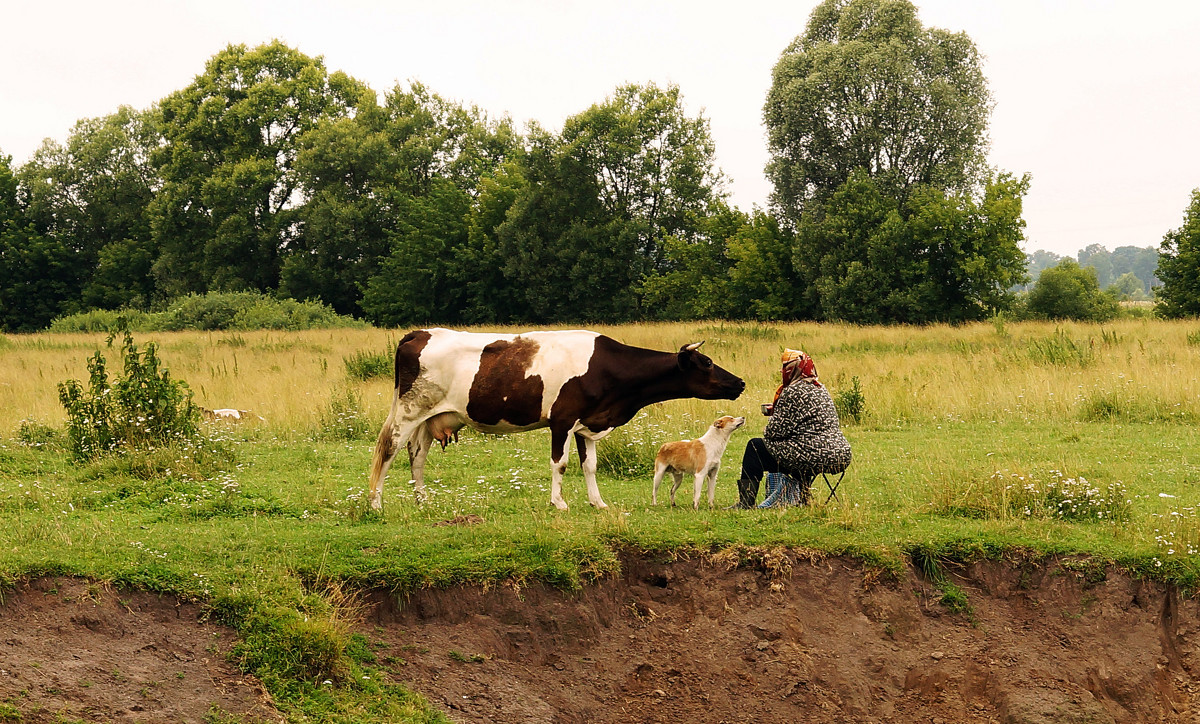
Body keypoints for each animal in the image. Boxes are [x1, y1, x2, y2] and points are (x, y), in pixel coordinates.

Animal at [364, 328, 739, 509]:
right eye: (706, 363)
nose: (740, 383)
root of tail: (419, 333)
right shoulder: (562, 420)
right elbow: (560, 464)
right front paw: (559, 502)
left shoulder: (588, 424)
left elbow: (590, 466)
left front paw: (598, 502)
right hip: (408, 410)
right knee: (388, 450)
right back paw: (376, 504)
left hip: (432, 417)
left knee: (417, 456)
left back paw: (422, 502)